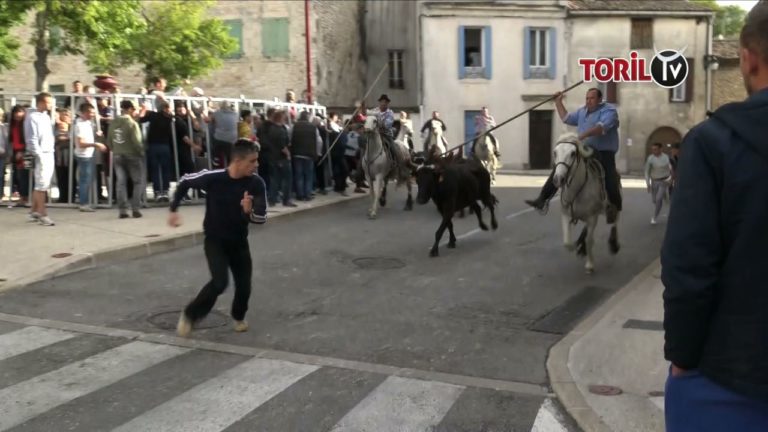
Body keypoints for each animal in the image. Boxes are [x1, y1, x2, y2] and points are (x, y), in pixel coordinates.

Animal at [552, 132, 616, 274]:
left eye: (572, 153)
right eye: (555, 152)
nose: (558, 179)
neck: (577, 191)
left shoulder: (592, 217)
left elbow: (589, 240)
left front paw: (590, 265)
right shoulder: (565, 215)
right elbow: (567, 243)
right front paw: (576, 246)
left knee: (615, 220)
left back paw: (614, 244)